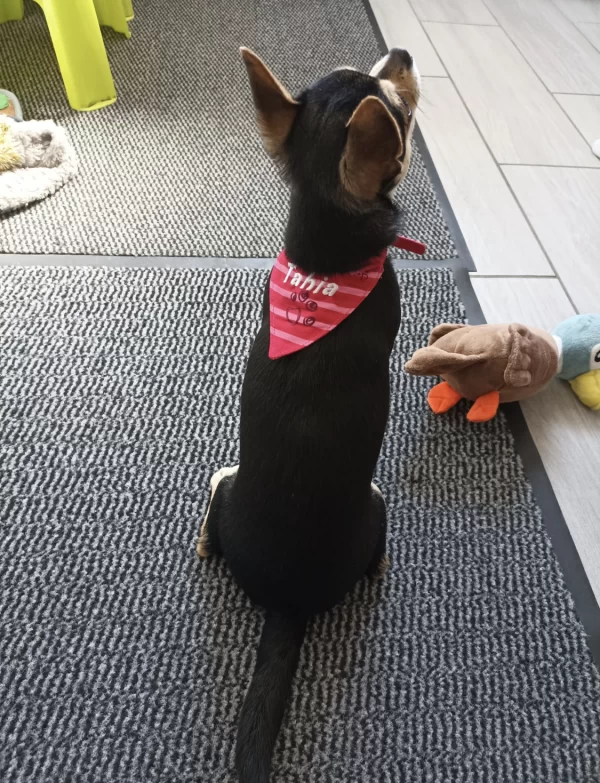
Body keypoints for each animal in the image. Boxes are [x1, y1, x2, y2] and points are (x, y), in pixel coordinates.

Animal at [198, 47, 422, 783]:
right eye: (400, 110)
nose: (403, 53)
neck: (323, 261)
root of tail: (286, 604)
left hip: (228, 495)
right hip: (376, 507)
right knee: (377, 547)